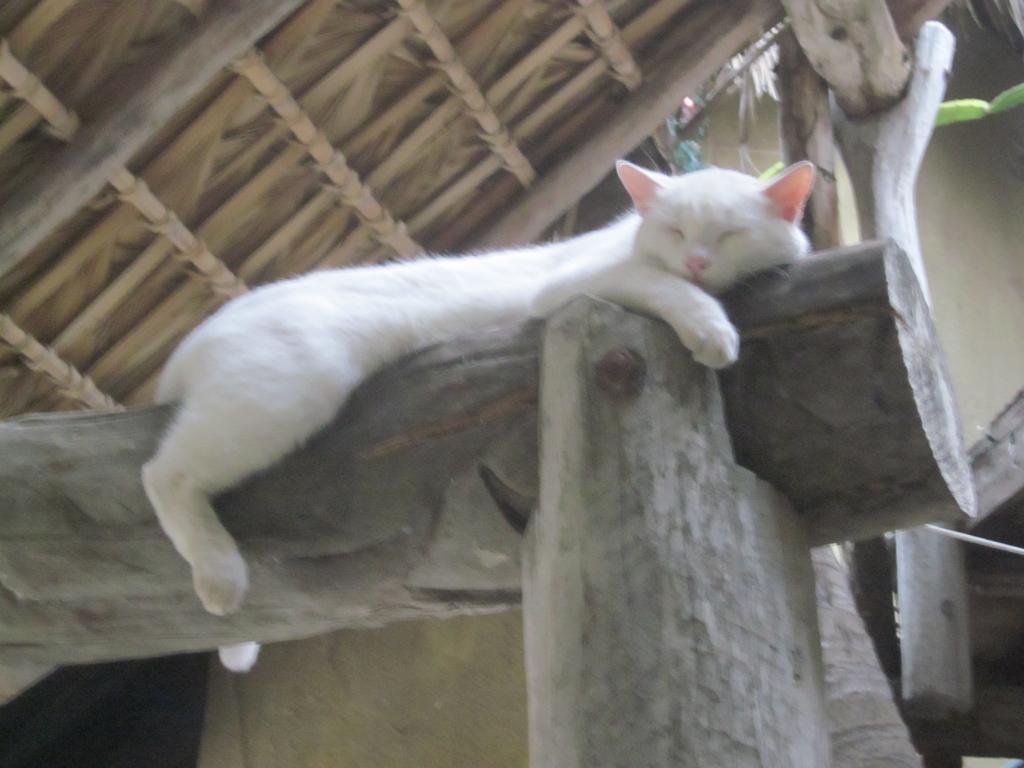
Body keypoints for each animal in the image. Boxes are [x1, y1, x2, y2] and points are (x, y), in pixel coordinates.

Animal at [142, 159, 815, 671]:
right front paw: (712, 329)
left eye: (728, 235)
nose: (698, 260)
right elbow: (669, 290)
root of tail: (194, 340)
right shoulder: (581, 282)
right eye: (676, 231)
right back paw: (220, 573)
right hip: (291, 386)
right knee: (162, 473)